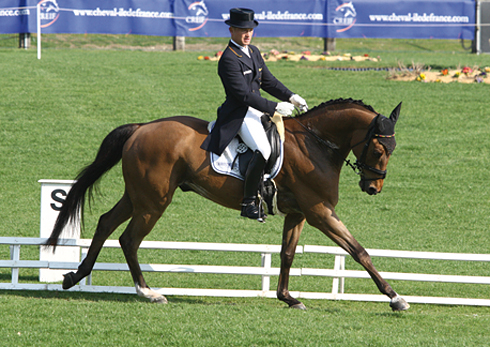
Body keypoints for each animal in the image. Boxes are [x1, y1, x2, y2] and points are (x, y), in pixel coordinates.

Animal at [45, 98, 410, 312]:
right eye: (379, 150)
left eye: (391, 151)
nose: (373, 187)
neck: (315, 144)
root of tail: (141, 128)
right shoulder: (320, 212)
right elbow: (358, 250)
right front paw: (395, 298)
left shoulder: (298, 213)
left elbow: (287, 254)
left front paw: (287, 298)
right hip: (153, 200)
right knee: (129, 239)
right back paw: (147, 292)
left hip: (138, 195)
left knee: (107, 223)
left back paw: (75, 276)